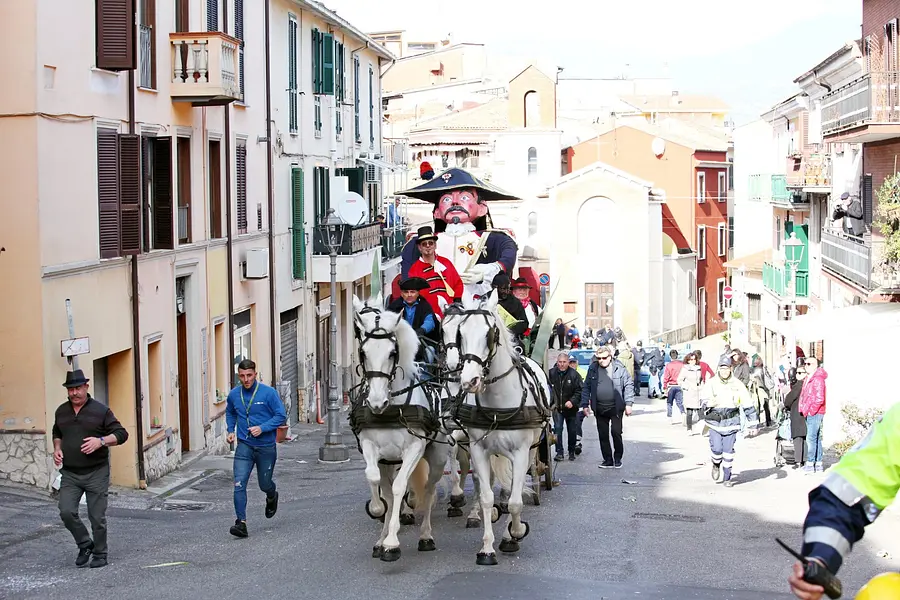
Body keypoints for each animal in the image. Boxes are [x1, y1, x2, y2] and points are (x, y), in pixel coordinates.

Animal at [352, 296, 450, 564]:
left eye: (392, 352)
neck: (391, 407)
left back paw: (425, 535)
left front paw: (392, 542)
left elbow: (398, 487)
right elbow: (376, 482)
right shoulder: (373, 450)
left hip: (437, 457)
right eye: (363, 352)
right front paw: (379, 518)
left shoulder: (414, 448)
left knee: (429, 488)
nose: (376, 402)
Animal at [442, 292, 548, 564]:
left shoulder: (520, 453)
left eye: (489, 334)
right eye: (461, 333)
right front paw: (487, 548)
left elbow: (514, 501)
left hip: (532, 448)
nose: (469, 380)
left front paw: (513, 535)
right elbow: (487, 495)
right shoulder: (477, 448)